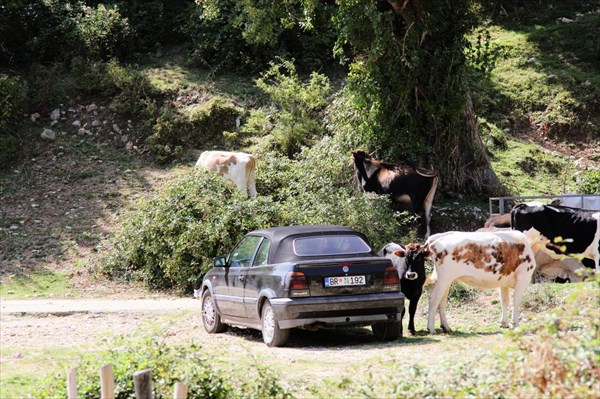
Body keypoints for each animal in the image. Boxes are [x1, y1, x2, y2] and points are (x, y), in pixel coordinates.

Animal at [406, 231, 536, 334]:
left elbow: (504, 302)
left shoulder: (503, 282)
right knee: (434, 300)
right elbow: (516, 302)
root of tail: (437, 237)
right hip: (444, 278)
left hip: (446, 280)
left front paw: (504, 323)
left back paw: (446, 327)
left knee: (442, 302)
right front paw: (516, 325)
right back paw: (431, 328)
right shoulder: (523, 278)